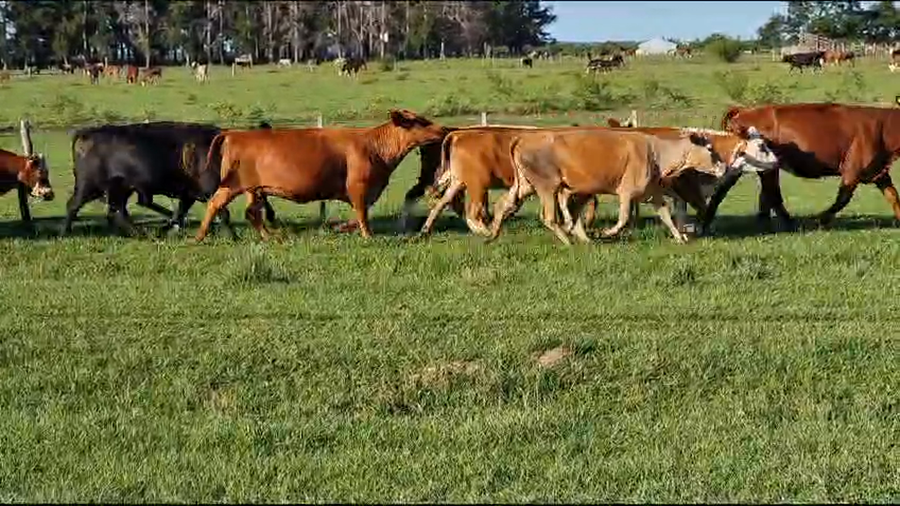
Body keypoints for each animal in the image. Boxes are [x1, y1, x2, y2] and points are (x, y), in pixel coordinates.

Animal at [193, 109, 447, 242]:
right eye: (421, 122)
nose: (443, 129)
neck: (374, 146)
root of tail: (234, 134)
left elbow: (358, 215)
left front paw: (341, 227)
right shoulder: (359, 187)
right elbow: (362, 214)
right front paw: (368, 236)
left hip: (253, 190)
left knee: (250, 213)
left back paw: (268, 236)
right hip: (235, 185)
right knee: (218, 204)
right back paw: (201, 236)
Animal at [486, 129, 728, 245]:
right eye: (709, 149)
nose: (724, 166)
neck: (656, 153)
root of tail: (523, 138)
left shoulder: (653, 195)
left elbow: (667, 217)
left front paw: (680, 238)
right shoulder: (626, 192)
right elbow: (623, 219)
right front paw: (606, 232)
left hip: (526, 185)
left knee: (503, 205)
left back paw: (492, 235)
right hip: (548, 186)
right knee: (549, 218)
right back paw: (570, 240)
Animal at [712, 103, 900, 231]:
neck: (884, 127)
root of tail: (745, 110)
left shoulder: (879, 172)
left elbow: (893, 195)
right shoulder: (852, 172)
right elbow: (842, 200)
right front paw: (819, 221)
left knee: (766, 194)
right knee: (771, 194)